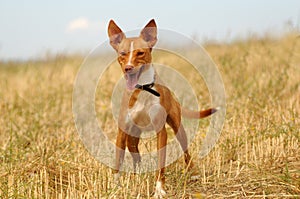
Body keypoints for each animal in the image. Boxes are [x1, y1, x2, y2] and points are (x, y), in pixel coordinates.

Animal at [108, 18, 218, 197]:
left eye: (140, 53)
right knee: (136, 157)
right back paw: (137, 175)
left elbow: (161, 163)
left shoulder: (161, 131)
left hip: (178, 128)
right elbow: (118, 162)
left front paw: (159, 189)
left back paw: (193, 173)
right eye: (122, 54)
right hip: (132, 138)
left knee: (186, 151)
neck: (143, 88)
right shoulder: (122, 132)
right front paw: (115, 187)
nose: (128, 68)